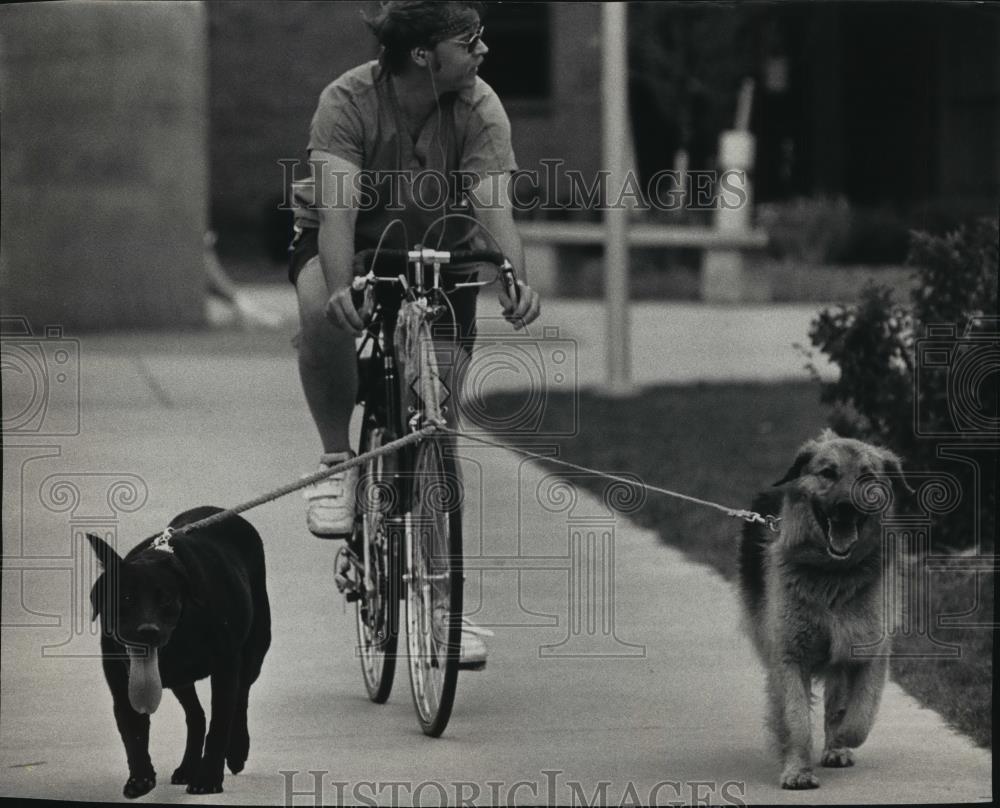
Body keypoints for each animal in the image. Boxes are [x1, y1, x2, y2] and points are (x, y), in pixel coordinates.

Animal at [86, 508, 272, 800]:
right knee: (196, 716)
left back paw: (237, 751)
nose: (147, 631)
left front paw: (208, 779)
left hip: (255, 650)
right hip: (178, 680)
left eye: (165, 599)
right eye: (125, 598)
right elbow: (132, 732)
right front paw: (140, 778)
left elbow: (221, 723)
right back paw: (187, 767)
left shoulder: (226, 666)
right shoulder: (121, 683)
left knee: (241, 698)